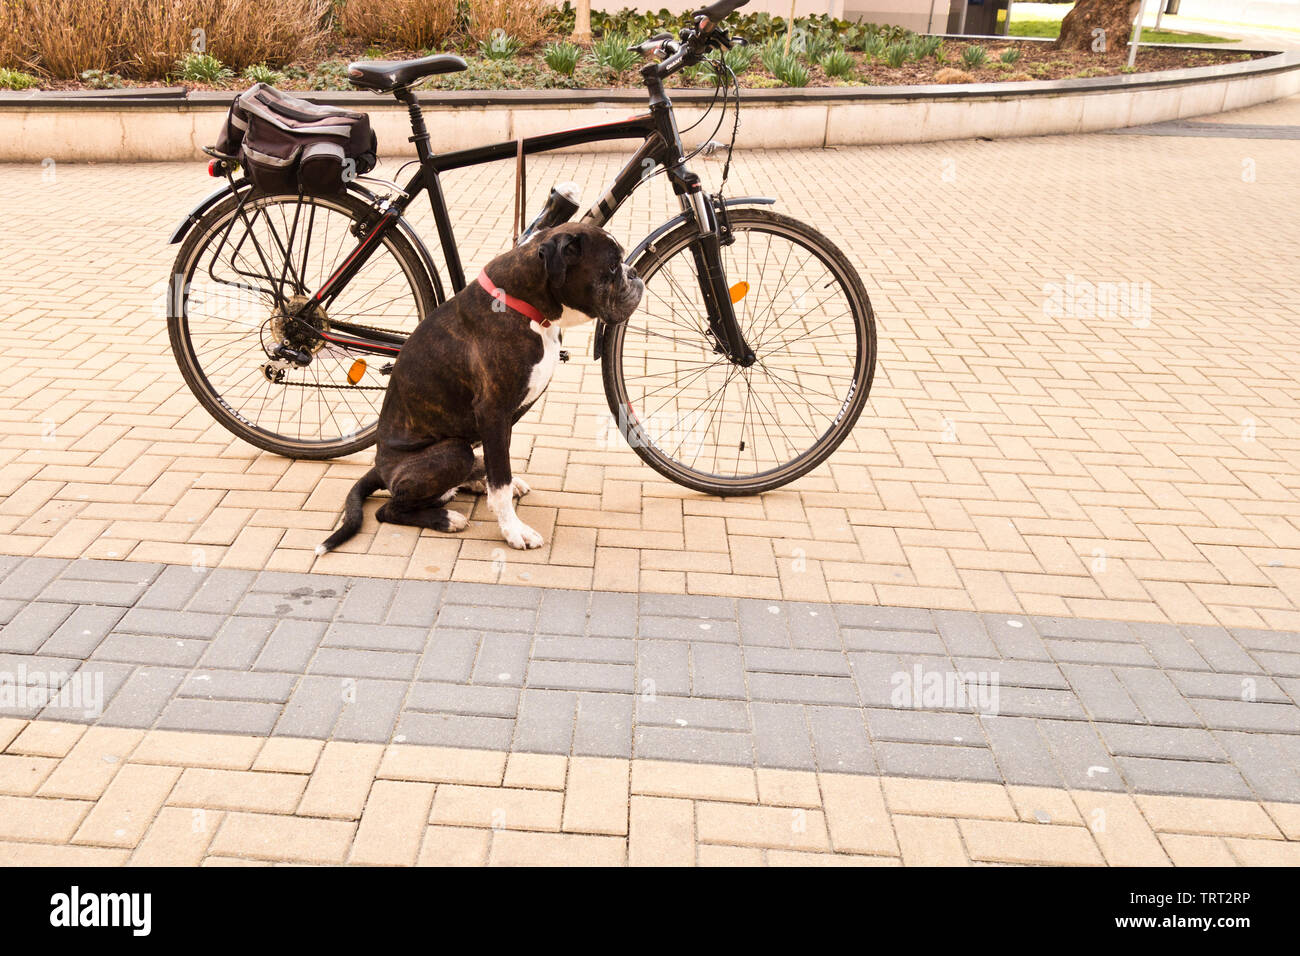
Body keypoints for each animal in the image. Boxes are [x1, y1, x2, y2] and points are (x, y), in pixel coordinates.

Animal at [319, 223, 644, 554]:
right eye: (612, 266)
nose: (633, 273)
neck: (527, 306)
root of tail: (379, 467)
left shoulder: (502, 421)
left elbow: (499, 467)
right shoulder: (494, 412)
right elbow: (500, 479)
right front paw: (513, 530)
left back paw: (472, 482)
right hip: (453, 451)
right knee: (390, 509)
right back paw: (446, 518)